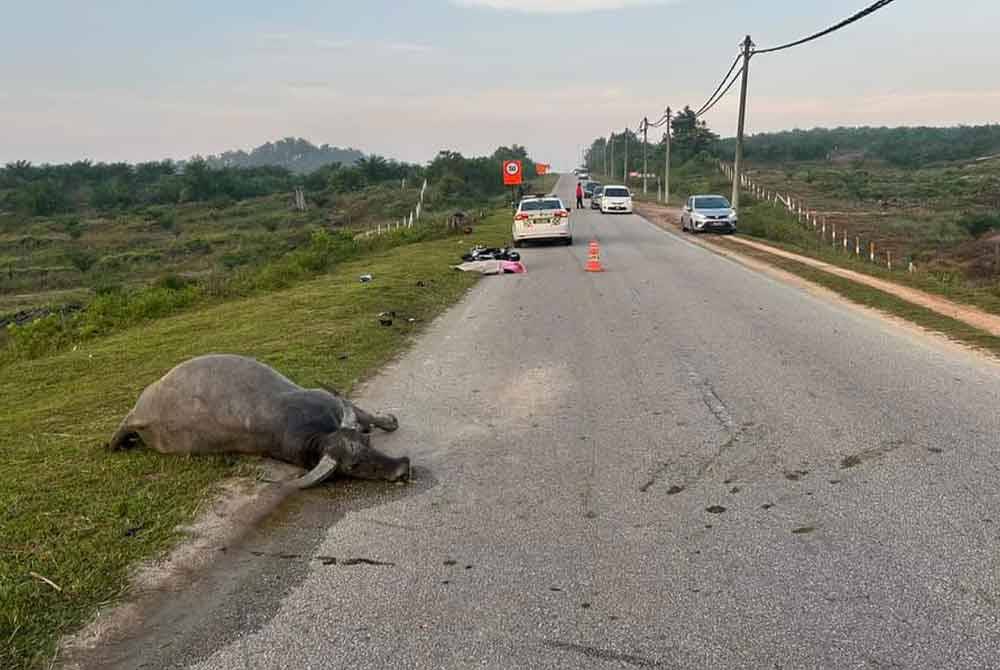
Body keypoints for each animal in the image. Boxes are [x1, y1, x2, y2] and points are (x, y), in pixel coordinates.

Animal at [106, 356, 410, 488]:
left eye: (368, 443)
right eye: (353, 466)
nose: (403, 467)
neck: (317, 431)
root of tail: (140, 415)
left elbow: (367, 417)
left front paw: (386, 421)